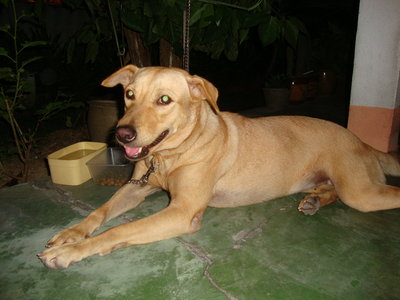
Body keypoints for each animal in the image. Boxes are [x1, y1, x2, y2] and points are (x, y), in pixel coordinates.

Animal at [39, 64, 400, 268]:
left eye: (164, 100)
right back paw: (314, 200)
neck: (171, 155)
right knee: (329, 190)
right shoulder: (135, 188)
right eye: (128, 94)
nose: (122, 134)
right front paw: (71, 234)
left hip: (361, 192)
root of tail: (363, 142)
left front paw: (72, 252)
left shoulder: (182, 211)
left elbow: (118, 230)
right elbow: (99, 213)